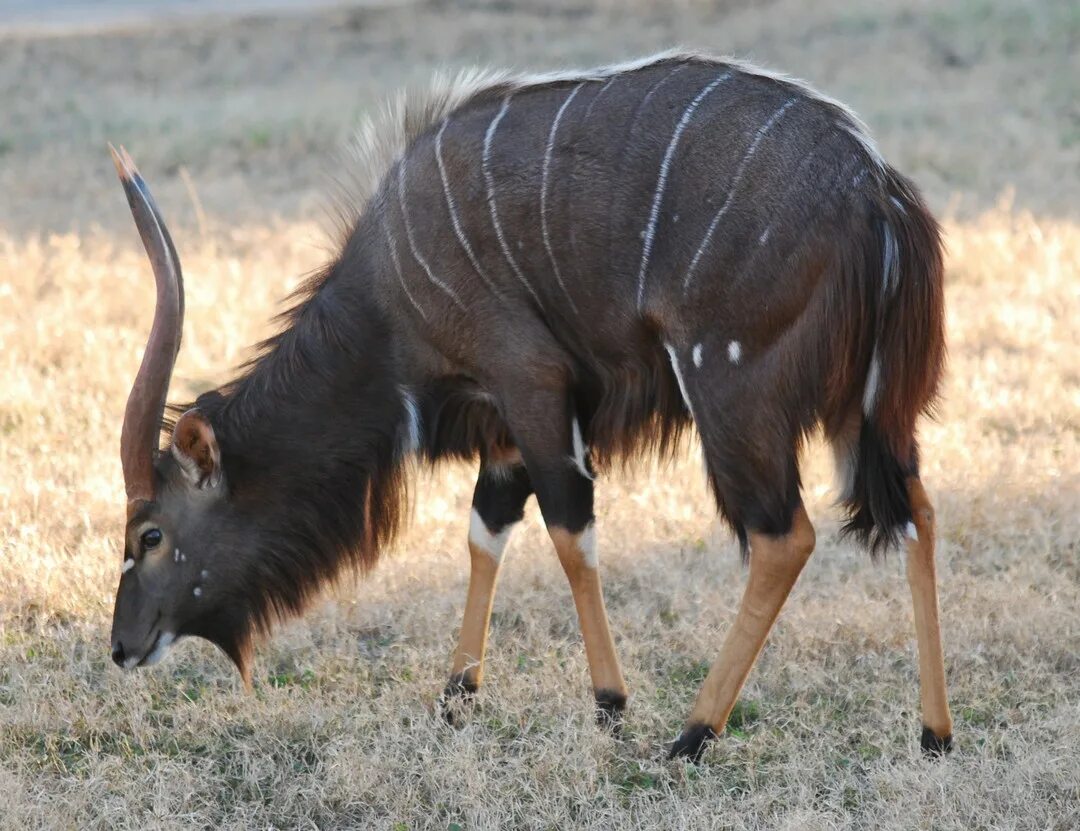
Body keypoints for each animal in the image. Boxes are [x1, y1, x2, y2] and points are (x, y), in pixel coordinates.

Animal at [111, 51, 954, 760]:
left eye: (150, 534)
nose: (121, 645)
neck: (385, 301)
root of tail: (877, 191)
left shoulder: (533, 383)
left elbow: (568, 532)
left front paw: (610, 702)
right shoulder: (506, 428)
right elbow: (486, 531)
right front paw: (456, 693)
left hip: (732, 393)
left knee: (785, 537)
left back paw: (692, 733)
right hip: (871, 412)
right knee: (917, 510)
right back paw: (934, 732)